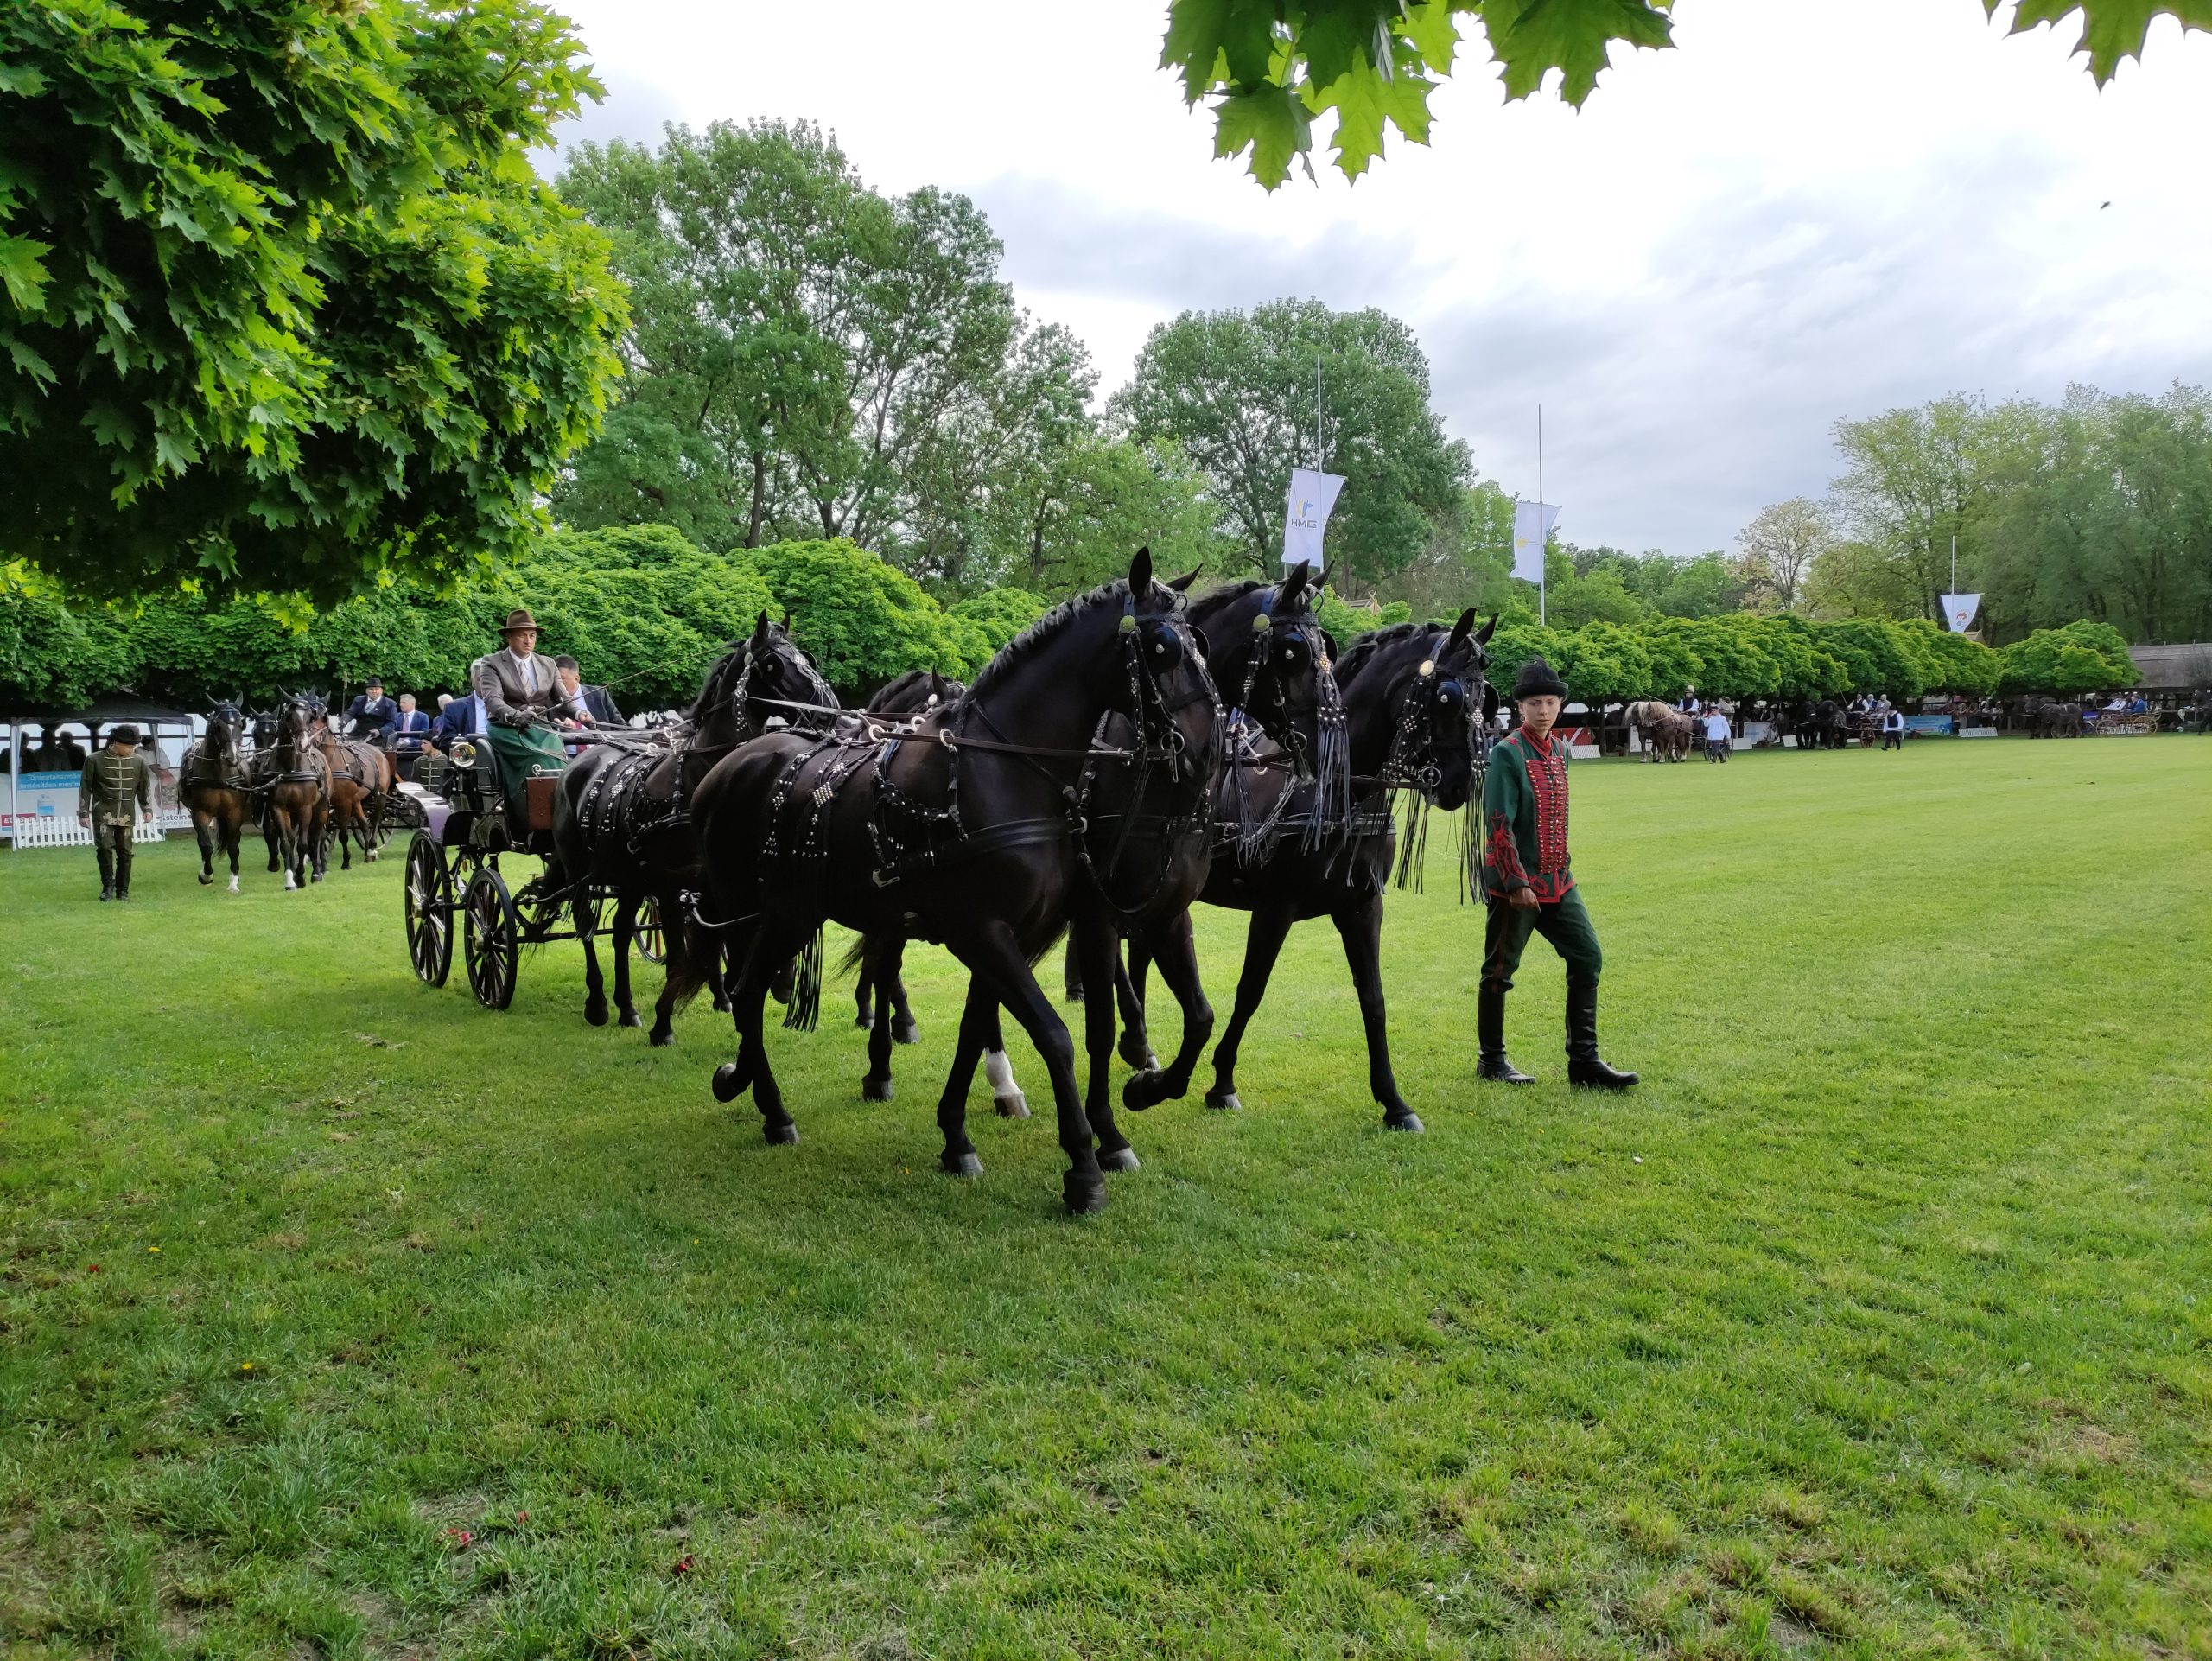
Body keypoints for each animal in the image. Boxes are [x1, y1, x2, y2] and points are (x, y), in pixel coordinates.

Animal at [179, 698, 254, 888]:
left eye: (241, 723)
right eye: (218, 726)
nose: (232, 757)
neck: (219, 774)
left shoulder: (235, 813)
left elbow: (234, 847)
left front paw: (233, 882)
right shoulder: (200, 813)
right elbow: (206, 846)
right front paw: (206, 875)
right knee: (201, 842)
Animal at [685, 552, 1221, 1212]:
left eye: (1201, 644)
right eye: (1163, 647)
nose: (1209, 751)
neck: (1000, 769)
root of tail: (729, 765)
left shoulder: (1008, 933)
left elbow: (977, 1030)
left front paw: (957, 1136)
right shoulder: (984, 930)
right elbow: (1055, 1035)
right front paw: (1083, 1165)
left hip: (785, 914)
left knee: (752, 992)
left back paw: (752, 1090)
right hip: (767, 913)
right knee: (747, 993)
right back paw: (771, 1106)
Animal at [1123, 619, 1503, 1141]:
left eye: (1486, 696)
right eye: (1448, 697)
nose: (1462, 782)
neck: (1334, 796)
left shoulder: (1363, 907)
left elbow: (1374, 1000)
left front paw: (1393, 1101)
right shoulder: (1274, 909)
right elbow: (1250, 991)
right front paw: (1222, 1082)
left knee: (1140, 951)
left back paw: (1140, 1049)